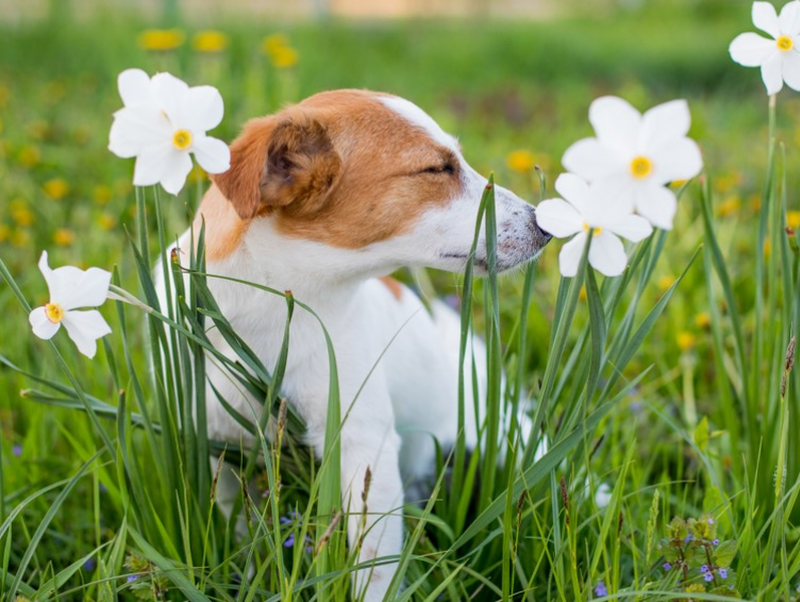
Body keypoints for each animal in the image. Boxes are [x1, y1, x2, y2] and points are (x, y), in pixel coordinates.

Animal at [162, 90, 552, 600]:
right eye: (437, 169)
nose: (546, 226)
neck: (274, 308)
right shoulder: (213, 440)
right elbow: (235, 529)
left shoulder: (363, 445)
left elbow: (373, 564)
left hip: (505, 432)